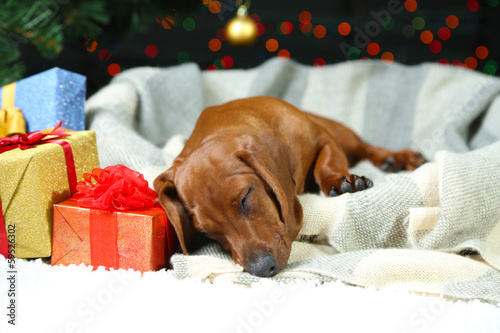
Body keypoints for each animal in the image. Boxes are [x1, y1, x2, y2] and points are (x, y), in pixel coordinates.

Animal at [153, 97, 426, 276]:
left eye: (246, 197)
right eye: (207, 231)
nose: (262, 269)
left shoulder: (325, 139)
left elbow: (327, 163)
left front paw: (340, 181)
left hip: (344, 135)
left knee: (368, 148)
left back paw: (397, 158)